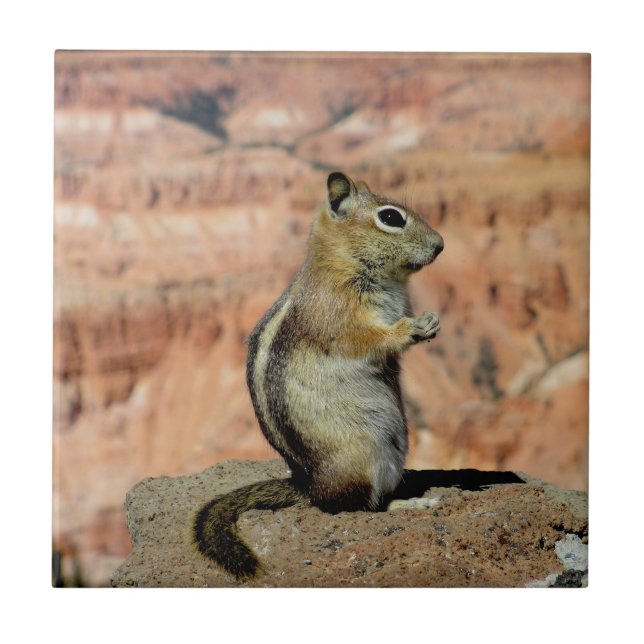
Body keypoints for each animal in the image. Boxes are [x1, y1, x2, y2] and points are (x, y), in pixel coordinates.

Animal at [193, 171, 444, 579]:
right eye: (391, 218)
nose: (441, 245)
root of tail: (309, 486)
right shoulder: (339, 315)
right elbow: (368, 340)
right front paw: (412, 329)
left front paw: (431, 322)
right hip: (362, 456)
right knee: (354, 508)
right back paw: (409, 505)